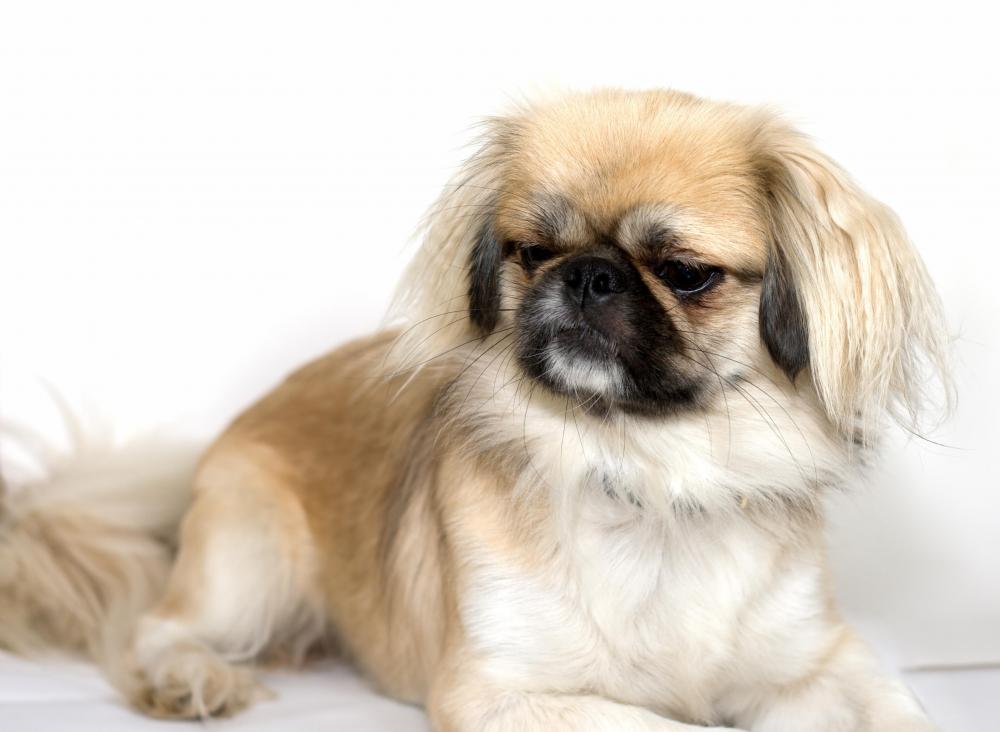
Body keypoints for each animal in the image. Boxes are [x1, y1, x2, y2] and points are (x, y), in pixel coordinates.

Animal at [1, 88, 952, 728]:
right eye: (533, 252)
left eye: (684, 273)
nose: (590, 273)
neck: (648, 474)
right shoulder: (499, 691)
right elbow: (663, 724)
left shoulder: (824, 660)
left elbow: (896, 708)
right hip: (251, 551)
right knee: (158, 629)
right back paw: (194, 678)